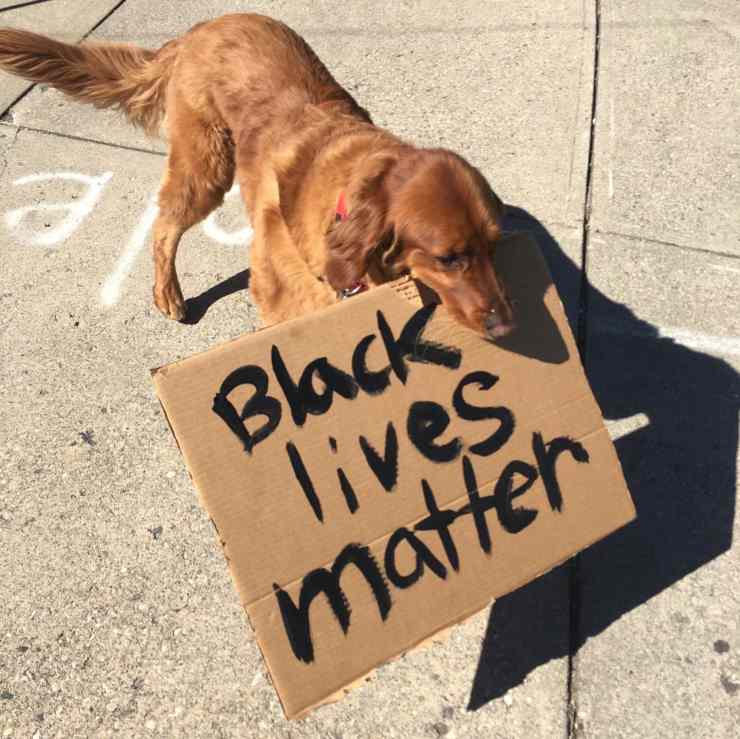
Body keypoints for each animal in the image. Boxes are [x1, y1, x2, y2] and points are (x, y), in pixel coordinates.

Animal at [0, 13, 516, 338]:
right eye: (449, 258)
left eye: (494, 247)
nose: (507, 323)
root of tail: (199, 29)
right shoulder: (283, 300)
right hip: (206, 168)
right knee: (164, 226)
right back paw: (168, 293)